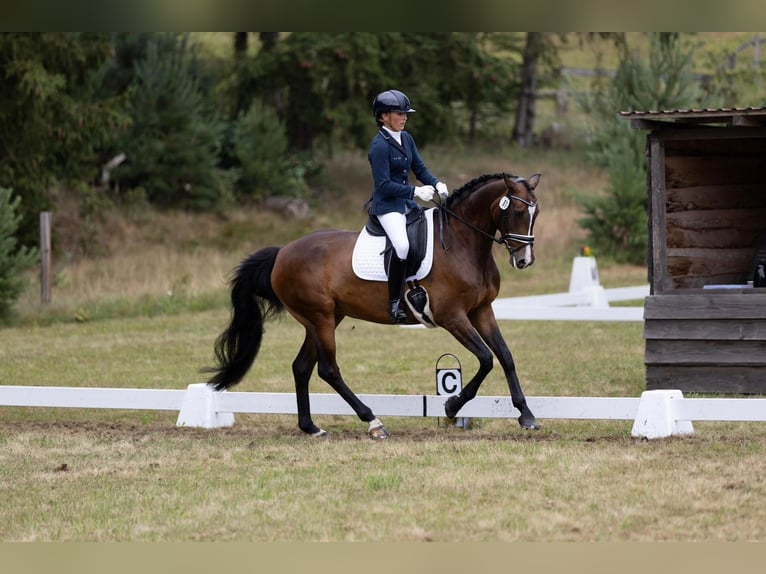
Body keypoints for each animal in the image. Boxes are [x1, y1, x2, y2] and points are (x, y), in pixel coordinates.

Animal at [203, 172, 542, 439]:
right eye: (516, 212)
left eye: (535, 213)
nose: (524, 260)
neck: (462, 242)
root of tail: (282, 252)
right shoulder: (453, 317)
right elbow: (486, 358)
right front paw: (450, 406)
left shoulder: (482, 310)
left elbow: (505, 356)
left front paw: (526, 414)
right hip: (320, 319)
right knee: (328, 370)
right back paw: (373, 422)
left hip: (324, 318)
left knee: (301, 367)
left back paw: (311, 428)